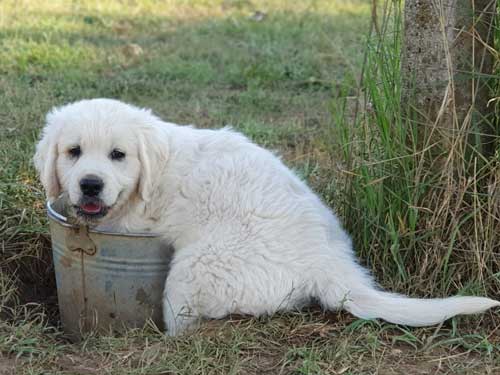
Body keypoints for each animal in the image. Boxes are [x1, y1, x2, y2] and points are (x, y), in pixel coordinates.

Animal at [33, 99, 498, 334]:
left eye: (118, 155)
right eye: (73, 152)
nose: (91, 185)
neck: (149, 179)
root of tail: (328, 265)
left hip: (194, 271)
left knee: (184, 319)